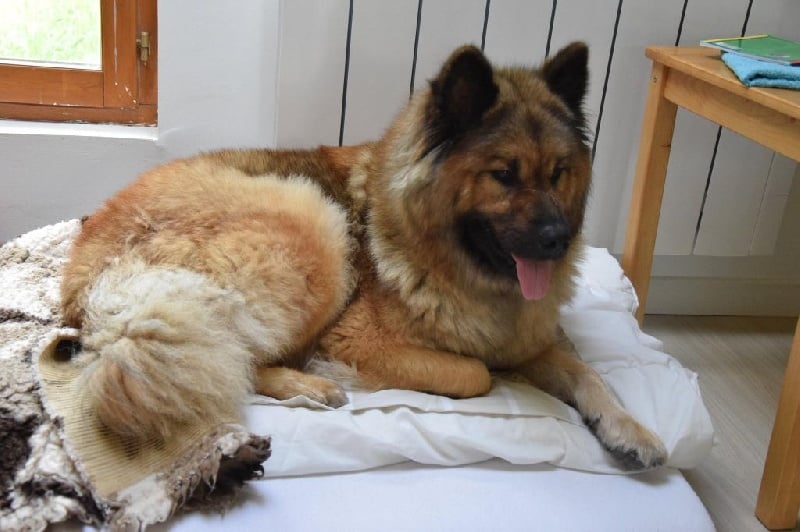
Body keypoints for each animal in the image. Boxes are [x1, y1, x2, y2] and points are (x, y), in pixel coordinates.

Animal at [61, 42, 667, 470]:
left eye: (559, 173)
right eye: (503, 174)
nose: (560, 239)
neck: (463, 269)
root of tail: (87, 271)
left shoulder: (532, 343)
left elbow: (591, 375)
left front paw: (629, 428)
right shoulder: (360, 338)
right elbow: (476, 373)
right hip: (316, 226)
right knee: (239, 362)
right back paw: (311, 385)